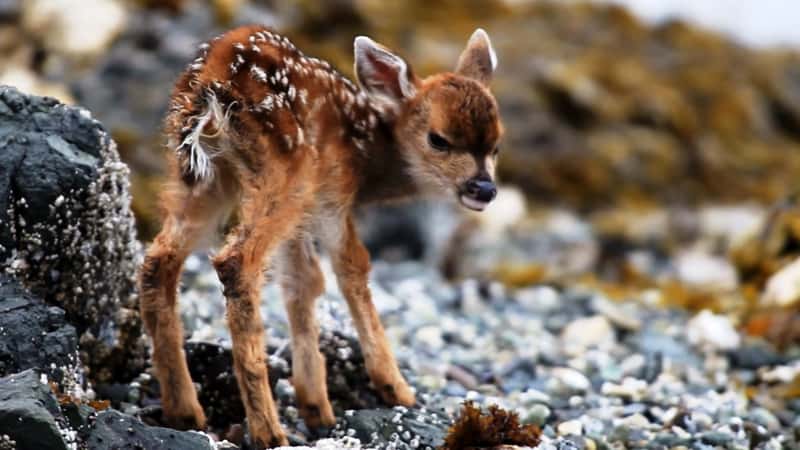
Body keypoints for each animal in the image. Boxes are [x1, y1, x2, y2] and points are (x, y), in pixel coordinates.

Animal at [138, 25, 500, 450]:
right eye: (438, 139)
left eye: (496, 145)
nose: (484, 188)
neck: (365, 155)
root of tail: (210, 83)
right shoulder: (331, 197)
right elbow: (352, 268)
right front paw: (396, 389)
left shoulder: (304, 218)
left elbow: (302, 283)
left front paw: (315, 405)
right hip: (284, 171)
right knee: (235, 260)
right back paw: (267, 429)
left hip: (200, 179)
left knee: (158, 260)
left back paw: (184, 410)